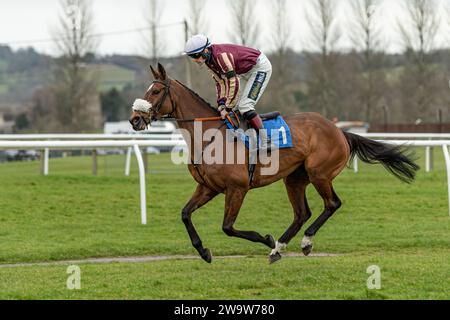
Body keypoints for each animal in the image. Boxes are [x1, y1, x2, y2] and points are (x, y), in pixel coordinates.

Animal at [128, 63, 420, 264]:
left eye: (155, 90)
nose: (134, 119)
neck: (210, 136)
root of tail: (339, 130)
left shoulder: (237, 188)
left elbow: (228, 227)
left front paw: (266, 238)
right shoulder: (208, 187)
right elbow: (185, 214)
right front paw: (203, 250)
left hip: (319, 173)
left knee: (332, 204)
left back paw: (302, 242)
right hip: (295, 178)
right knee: (302, 213)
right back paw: (279, 247)